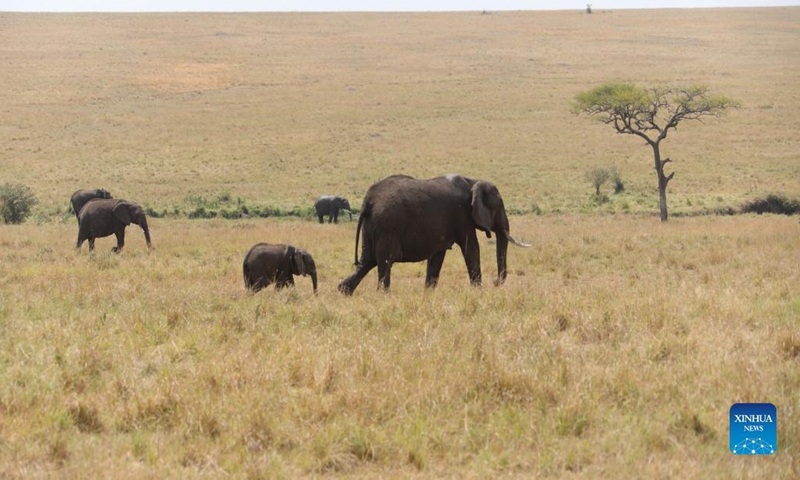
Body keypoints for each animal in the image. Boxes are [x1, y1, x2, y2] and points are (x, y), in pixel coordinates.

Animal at [337, 174, 529, 294]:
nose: (495, 283)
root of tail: (368, 201)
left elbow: (437, 256)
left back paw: (343, 291)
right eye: (498, 207)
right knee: (384, 263)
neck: (473, 181)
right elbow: (471, 248)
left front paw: (428, 294)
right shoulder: (462, 216)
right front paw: (478, 291)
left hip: (371, 227)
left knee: (367, 262)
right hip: (386, 227)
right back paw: (383, 295)